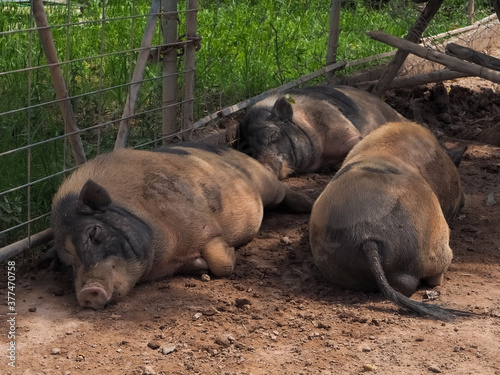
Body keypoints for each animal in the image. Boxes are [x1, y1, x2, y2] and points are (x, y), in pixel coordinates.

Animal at [45, 142, 314, 310]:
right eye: (69, 264)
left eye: (94, 232)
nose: (87, 292)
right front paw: (199, 266)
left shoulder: (204, 225)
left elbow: (222, 262)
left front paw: (228, 253)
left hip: (265, 182)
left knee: (283, 190)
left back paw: (309, 204)